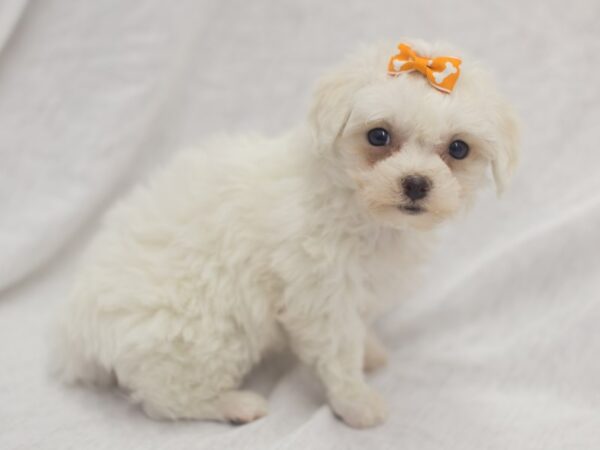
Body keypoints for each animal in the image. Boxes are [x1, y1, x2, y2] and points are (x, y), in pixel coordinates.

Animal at [52, 39, 520, 428]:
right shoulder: (321, 294)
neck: (363, 213)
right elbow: (339, 353)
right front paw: (356, 404)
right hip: (201, 336)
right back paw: (237, 405)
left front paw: (370, 351)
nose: (417, 183)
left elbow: (359, 329)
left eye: (458, 148)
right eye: (378, 135)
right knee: (166, 398)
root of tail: (76, 336)